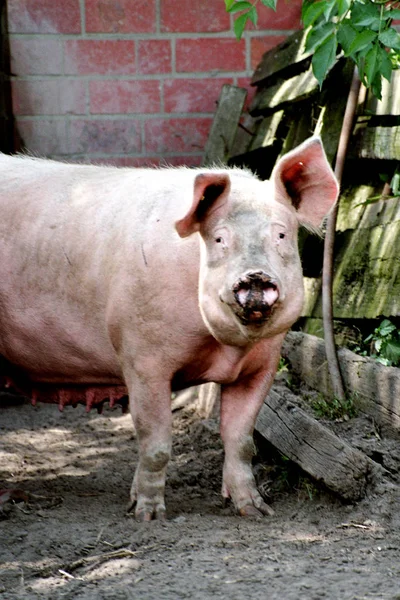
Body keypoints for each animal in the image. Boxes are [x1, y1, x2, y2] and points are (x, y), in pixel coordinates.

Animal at [0, 137, 340, 520]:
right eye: (219, 239)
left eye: (281, 234)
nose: (255, 276)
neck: (224, 348)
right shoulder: (142, 357)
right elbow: (156, 442)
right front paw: (148, 516)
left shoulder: (262, 365)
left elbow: (241, 442)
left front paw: (256, 511)